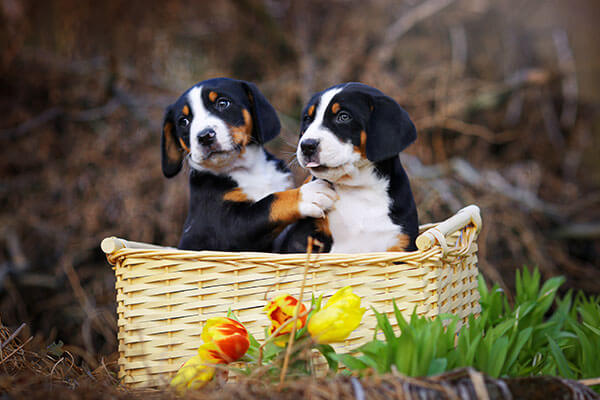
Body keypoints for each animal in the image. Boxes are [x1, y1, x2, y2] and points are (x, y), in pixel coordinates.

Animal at [162, 78, 336, 252]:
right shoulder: (225, 227)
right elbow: (269, 203)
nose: (205, 136)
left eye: (222, 103)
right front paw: (305, 195)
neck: (248, 169)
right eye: (184, 121)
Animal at [276, 82, 418, 253]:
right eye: (308, 119)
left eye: (343, 117)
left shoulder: (402, 243)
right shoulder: (302, 239)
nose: (307, 145)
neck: (357, 189)